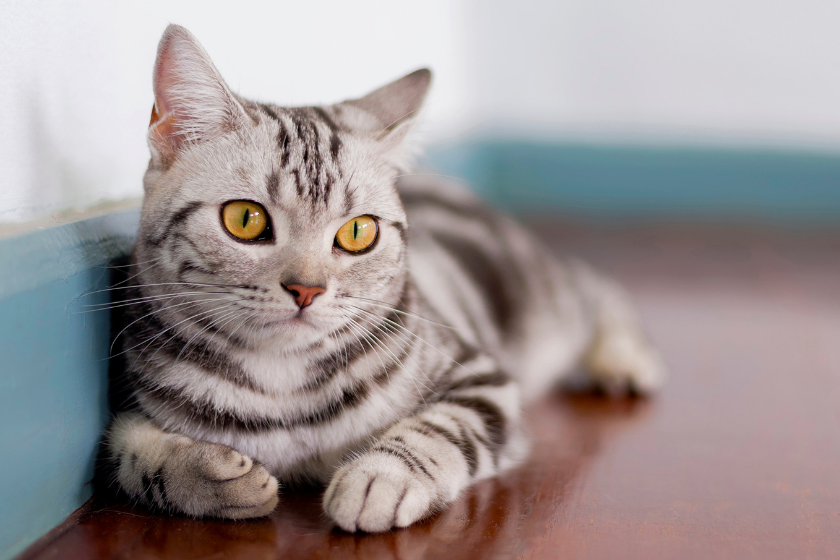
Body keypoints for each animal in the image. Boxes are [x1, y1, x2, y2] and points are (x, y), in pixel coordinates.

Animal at [100, 24, 664, 532]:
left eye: (357, 232)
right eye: (245, 219)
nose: (307, 289)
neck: (281, 389)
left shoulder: (481, 376)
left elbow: (439, 431)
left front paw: (378, 481)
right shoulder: (126, 410)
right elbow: (129, 454)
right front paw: (210, 473)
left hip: (543, 294)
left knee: (598, 287)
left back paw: (621, 359)